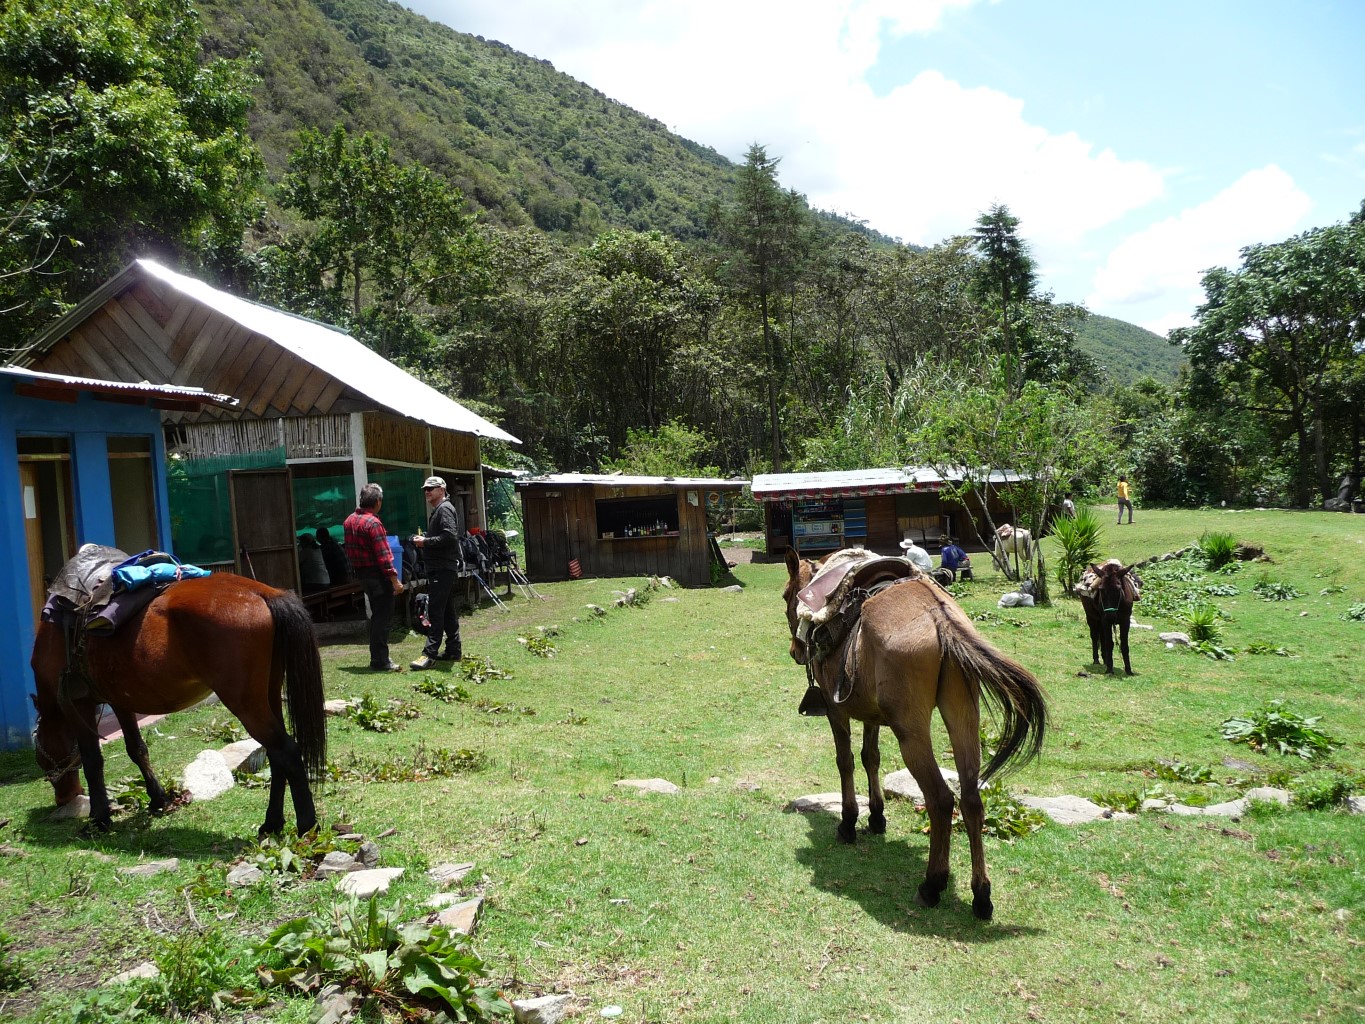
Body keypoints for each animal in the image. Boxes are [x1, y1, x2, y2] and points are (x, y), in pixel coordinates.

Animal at [31, 570, 327, 836]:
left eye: (42, 759)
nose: (64, 797)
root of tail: (262, 592)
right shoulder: (120, 701)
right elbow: (136, 749)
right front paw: (158, 799)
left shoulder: (78, 704)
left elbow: (93, 761)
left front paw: (99, 820)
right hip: (269, 695)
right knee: (275, 755)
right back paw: (272, 823)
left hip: (246, 704)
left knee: (287, 751)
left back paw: (307, 826)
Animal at [783, 549, 1047, 920]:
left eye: (786, 596)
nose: (796, 651)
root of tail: (941, 620)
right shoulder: (871, 714)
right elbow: (871, 758)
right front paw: (877, 817)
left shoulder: (838, 711)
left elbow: (846, 761)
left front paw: (849, 823)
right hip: (962, 717)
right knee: (971, 800)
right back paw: (981, 895)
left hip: (912, 734)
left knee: (941, 800)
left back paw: (932, 884)